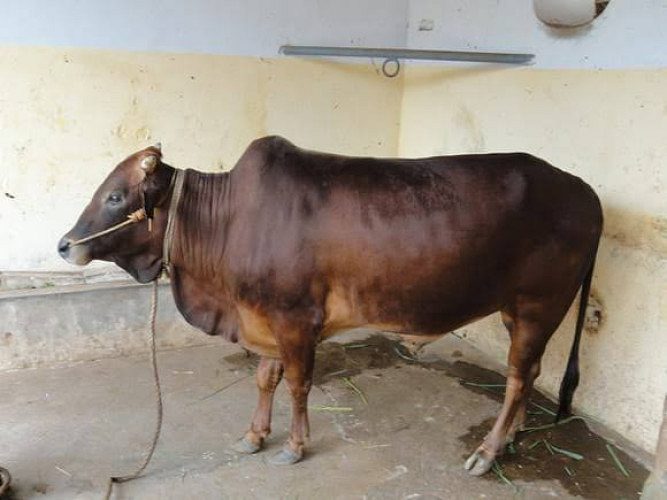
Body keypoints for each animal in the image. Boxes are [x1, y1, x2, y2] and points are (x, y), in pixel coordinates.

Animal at [58, 136, 602, 475]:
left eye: (115, 196)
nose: (65, 246)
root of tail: (586, 192)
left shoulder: (295, 319)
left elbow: (298, 385)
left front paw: (295, 446)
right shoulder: (263, 319)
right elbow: (265, 379)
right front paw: (254, 436)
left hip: (540, 304)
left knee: (516, 378)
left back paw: (488, 452)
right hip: (520, 310)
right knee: (530, 374)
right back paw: (511, 435)